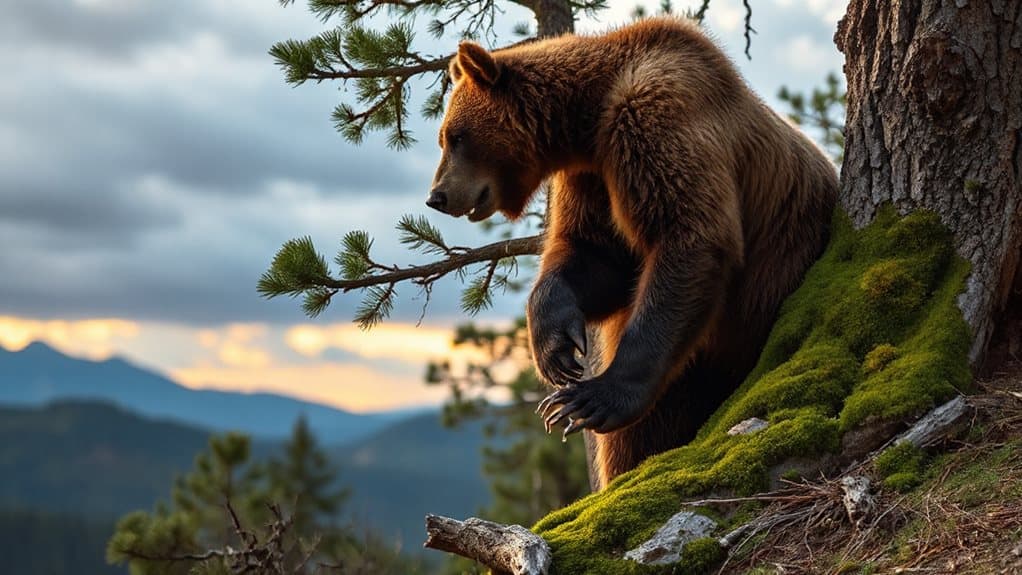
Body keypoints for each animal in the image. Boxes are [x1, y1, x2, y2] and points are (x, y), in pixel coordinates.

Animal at [427, 16, 838, 488]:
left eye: (456, 136)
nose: (437, 196)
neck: (590, 117)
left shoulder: (659, 121)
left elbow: (689, 236)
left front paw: (589, 398)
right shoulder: (594, 177)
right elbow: (597, 256)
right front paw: (556, 349)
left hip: (773, 277)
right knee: (643, 437)